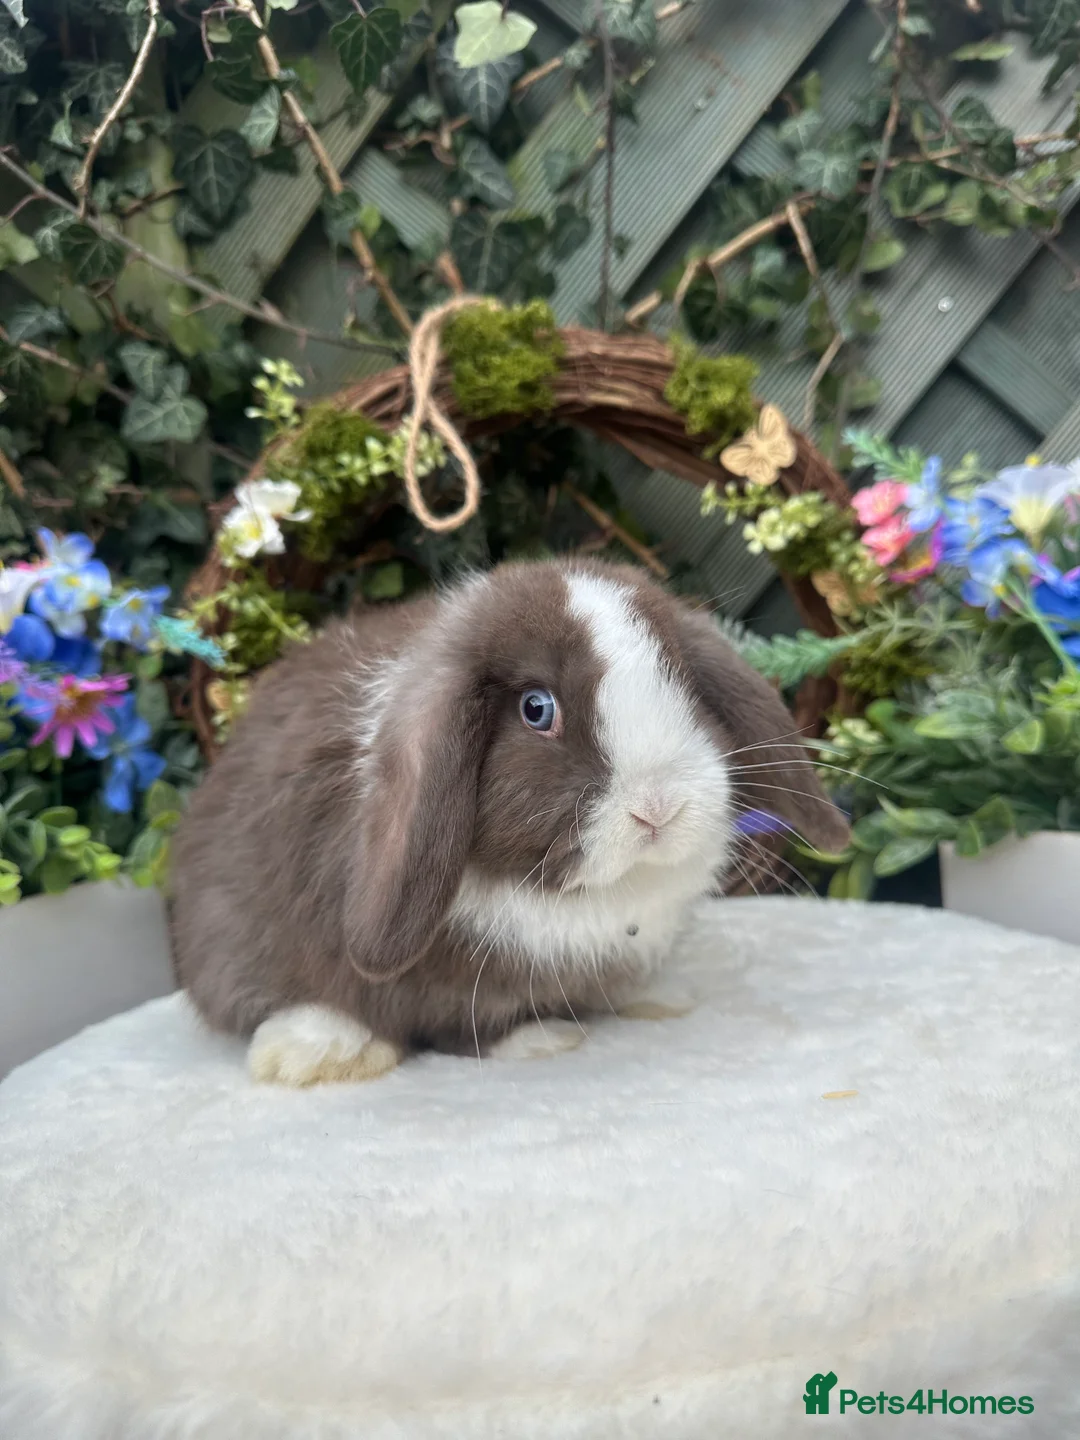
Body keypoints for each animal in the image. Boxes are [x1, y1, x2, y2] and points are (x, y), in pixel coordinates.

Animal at [169, 558, 849, 1086]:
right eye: (536, 709)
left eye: (680, 681)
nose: (658, 808)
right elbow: (463, 1025)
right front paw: (540, 1039)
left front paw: (657, 997)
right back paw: (314, 1052)